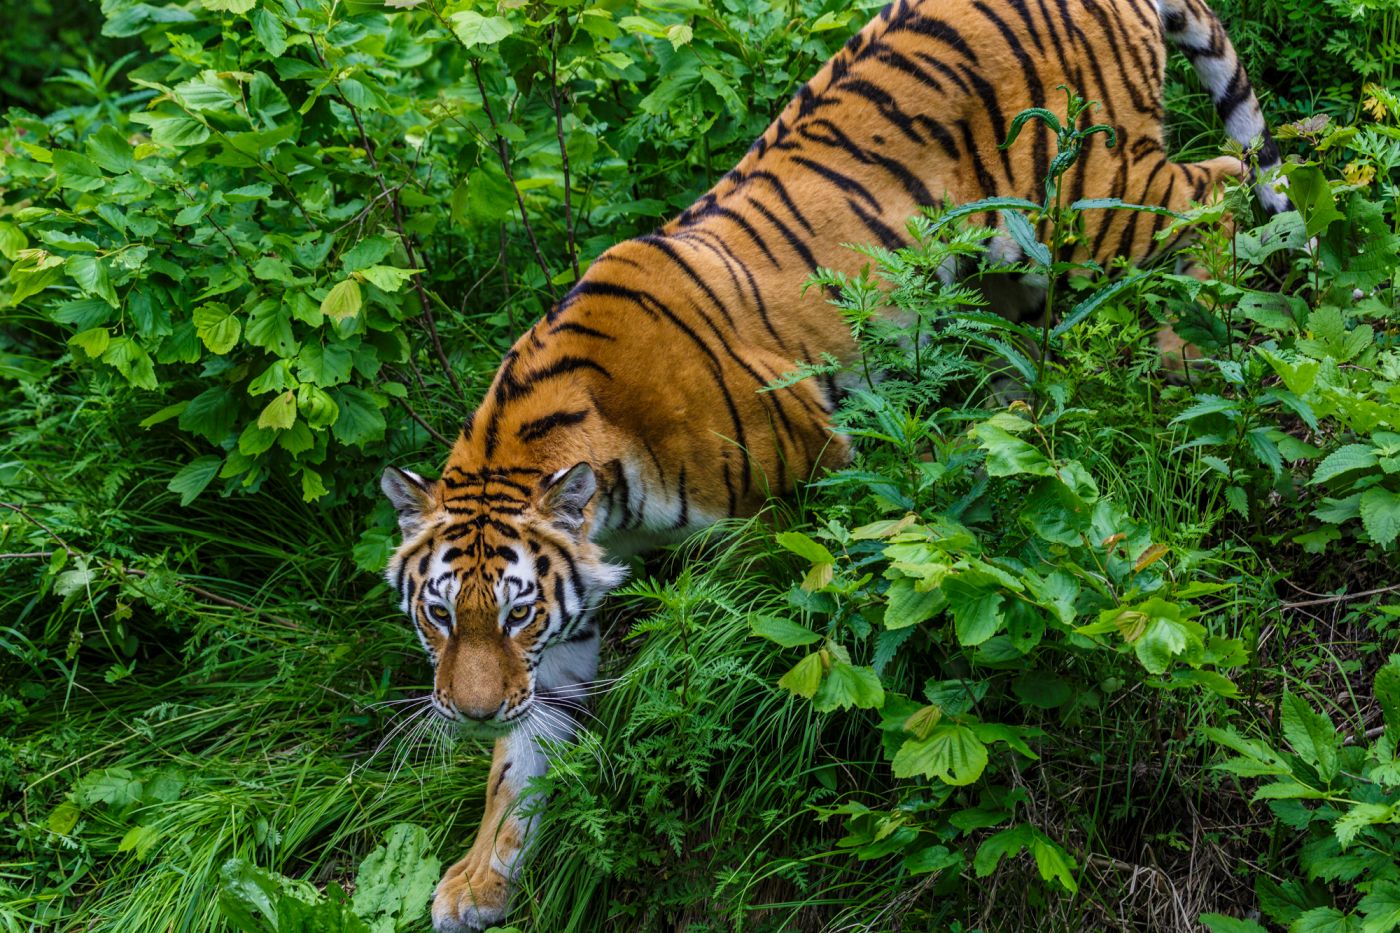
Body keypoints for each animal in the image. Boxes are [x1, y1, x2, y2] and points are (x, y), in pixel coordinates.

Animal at [378, 0, 1282, 924]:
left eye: (517, 611)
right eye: (441, 613)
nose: (470, 712)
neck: (601, 491)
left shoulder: (793, 490)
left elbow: (792, 634)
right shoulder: (573, 616)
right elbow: (523, 755)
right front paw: (479, 877)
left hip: (1093, 193)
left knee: (1215, 187)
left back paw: (1192, 350)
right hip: (1017, 261)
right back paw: (1000, 432)